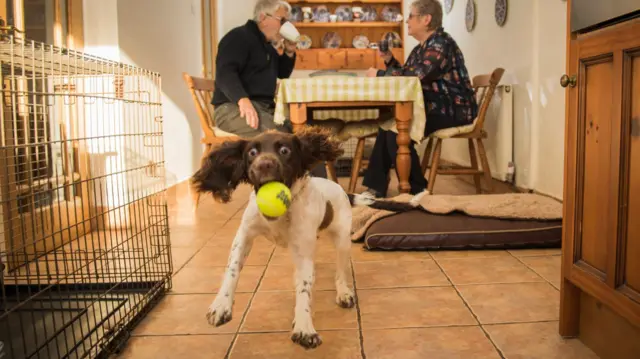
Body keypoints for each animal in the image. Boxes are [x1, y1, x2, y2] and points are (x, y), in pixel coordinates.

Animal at [190, 126, 412, 348]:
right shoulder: (244, 235)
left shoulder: (303, 250)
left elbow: (305, 288)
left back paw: (343, 292)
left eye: (285, 150)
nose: (264, 164)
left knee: (340, 272)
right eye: (252, 152)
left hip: (342, 240)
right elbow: (232, 270)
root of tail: (342, 190)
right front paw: (221, 304)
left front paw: (304, 326)